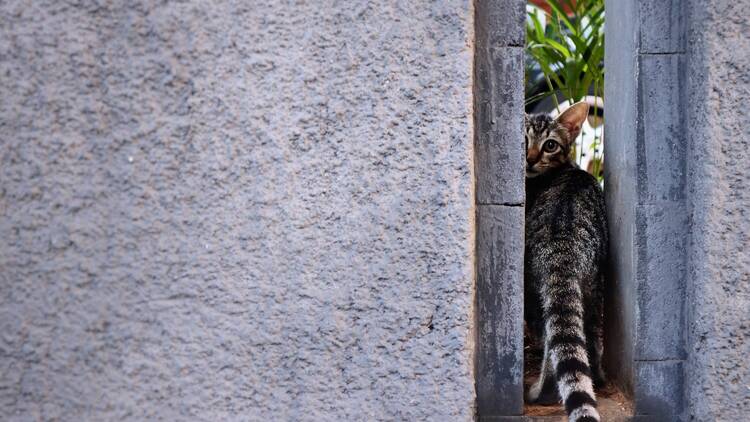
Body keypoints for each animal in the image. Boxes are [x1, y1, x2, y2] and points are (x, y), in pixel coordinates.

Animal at [524, 103, 608, 422]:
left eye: (550, 145)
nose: (530, 158)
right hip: (594, 284)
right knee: (591, 335)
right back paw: (598, 378)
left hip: (535, 287)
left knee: (550, 340)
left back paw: (540, 393)